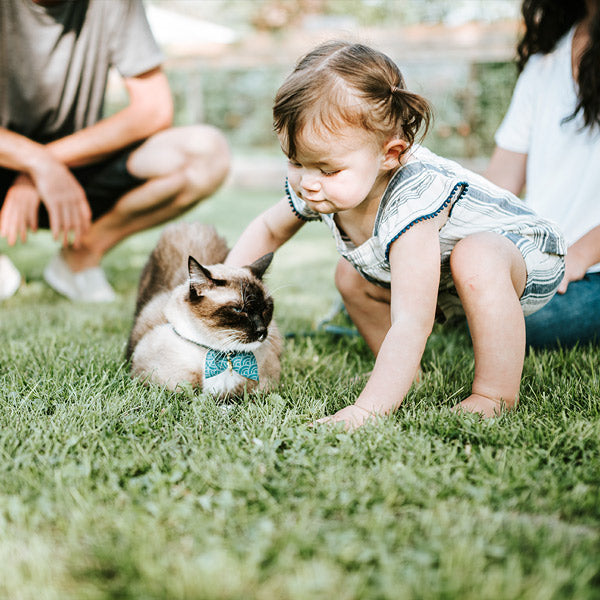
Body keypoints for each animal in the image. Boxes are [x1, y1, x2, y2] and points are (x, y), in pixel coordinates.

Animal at [126, 223, 282, 396]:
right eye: (238, 310)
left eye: (266, 307)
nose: (262, 330)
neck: (225, 356)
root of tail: (191, 224)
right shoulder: (161, 385)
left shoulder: (266, 387)